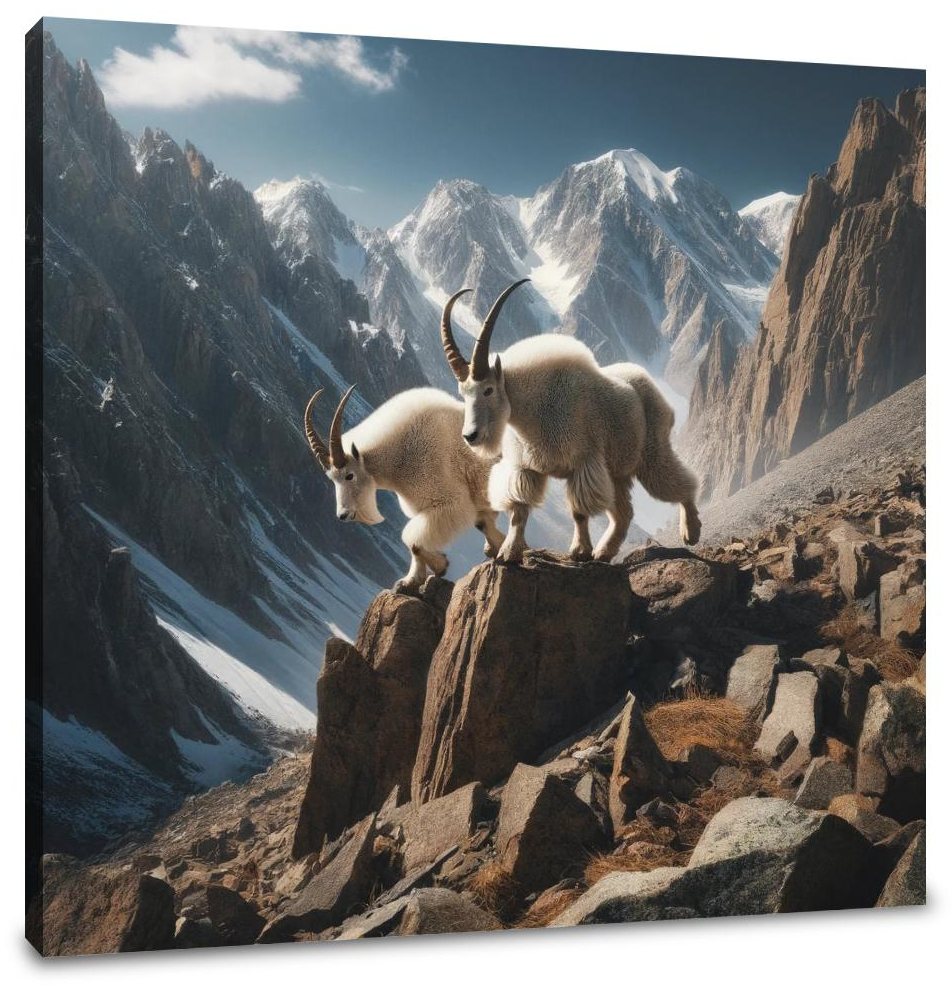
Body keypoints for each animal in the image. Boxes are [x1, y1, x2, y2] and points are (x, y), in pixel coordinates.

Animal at [304, 384, 504, 591]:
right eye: (332, 479)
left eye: (349, 475)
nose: (343, 515)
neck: (400, 455)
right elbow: (480, 523)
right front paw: (409, 581)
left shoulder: (450, 502)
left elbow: (412, 540)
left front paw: (440, 565)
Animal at [439, 279, 702, 563]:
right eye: (463, 393)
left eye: (488, 390)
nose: (470, 436)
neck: (534, 411)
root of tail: (649, 384)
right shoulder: (526, 467)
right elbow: (519, 510)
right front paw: (508, 552)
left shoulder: (582, 463)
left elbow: (579, 511)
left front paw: (579, 551)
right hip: (617, 470)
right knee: (624, 512)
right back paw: (604, 552)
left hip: (651, 453)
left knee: (678, 483)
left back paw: (691, 531)